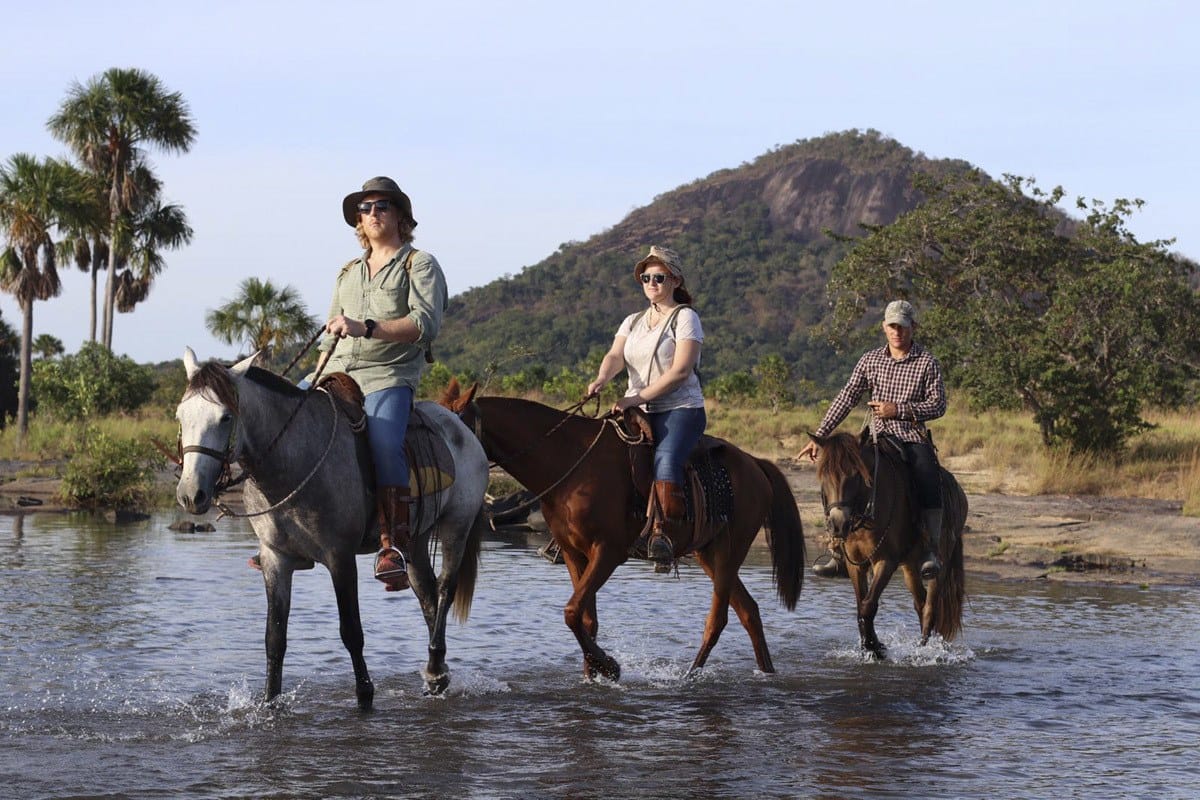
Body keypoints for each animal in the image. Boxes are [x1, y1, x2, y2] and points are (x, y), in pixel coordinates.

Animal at [172, 350, 487, 705]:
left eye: (225, 417)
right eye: (180, 415)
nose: (191, 494)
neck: (293, 463)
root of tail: (458, 425)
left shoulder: (340, 557)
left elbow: (351, 631)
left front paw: (365, 695)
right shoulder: (275, 558)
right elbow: (274, 638)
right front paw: (270, 702)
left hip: (456, 526)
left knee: (446, 588)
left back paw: (435, 667)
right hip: (414, 540)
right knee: (427, 594)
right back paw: (438, 674)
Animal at [444, 383, 806, 681]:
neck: (569, 463)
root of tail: (756, 464)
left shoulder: (608, 552)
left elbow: (572, 613)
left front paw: (609, 667)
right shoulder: (574, 554)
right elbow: (585, 618)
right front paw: (592, 673)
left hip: (729, 552)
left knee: (718, 620)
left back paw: (690, 676)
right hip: (709, 553)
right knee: (749, 611)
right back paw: (767, 673)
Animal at [806, 431, 964, 657]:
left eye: (855, 475)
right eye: (824, 476)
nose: (838, 525)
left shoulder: (885, 561)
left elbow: (868, 606)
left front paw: (875, 648)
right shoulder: (856, 564)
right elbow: (860, 606)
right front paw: (870, 646)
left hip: (939, 567)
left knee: (930, 608)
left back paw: (923, 650)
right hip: (909, 566)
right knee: (920, 603)